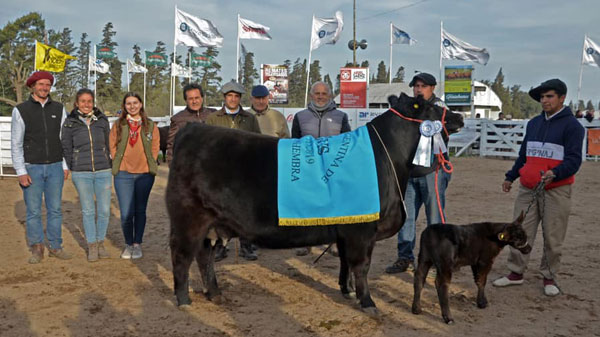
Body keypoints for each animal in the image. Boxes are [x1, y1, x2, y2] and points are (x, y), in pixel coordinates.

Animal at [166, 92, 466, 316]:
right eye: (432, 106)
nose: (460, 116)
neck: (386, 158)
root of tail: (191, 129)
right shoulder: (362, 229)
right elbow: (362, 266)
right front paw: (368, 302)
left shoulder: (346, 227)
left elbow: (346, 261)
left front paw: (346, 290)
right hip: (188, 219)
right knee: (182, 257)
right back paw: (184, 300)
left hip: (211, 224)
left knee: (204, 257)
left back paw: (215, 293)